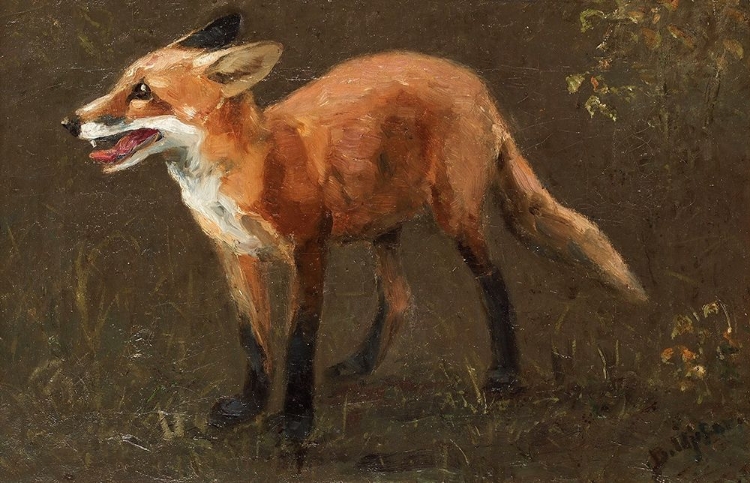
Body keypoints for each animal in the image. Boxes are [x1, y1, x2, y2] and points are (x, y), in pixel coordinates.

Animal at [62, 14, 646, 441]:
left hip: (455, 219)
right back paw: (362, 364)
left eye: (142, 91)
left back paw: (504, 377)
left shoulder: (308, 250)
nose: (70, 122)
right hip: (378, 228)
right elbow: (254, 342)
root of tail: (472, 82)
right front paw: (249, 406)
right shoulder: (237, 256)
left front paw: (296, 423)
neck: (247, 168)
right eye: (122, 83)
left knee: (494, 282)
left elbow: (298, 342)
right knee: (401, 298)